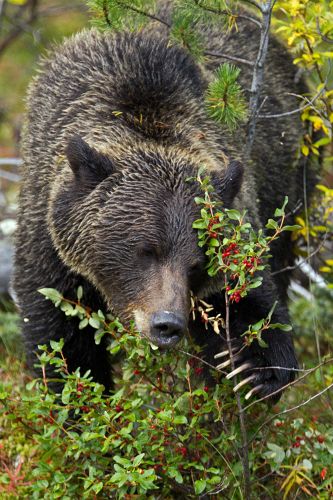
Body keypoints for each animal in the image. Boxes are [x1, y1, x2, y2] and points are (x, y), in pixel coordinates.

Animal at [13, 11, 304, 400]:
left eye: (197, 263)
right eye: (144, 250)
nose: (167, 324)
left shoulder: (240, 207)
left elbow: (250, 291)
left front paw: (255, 366)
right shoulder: (49, 237)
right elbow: (60, 330)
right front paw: (77, 393)